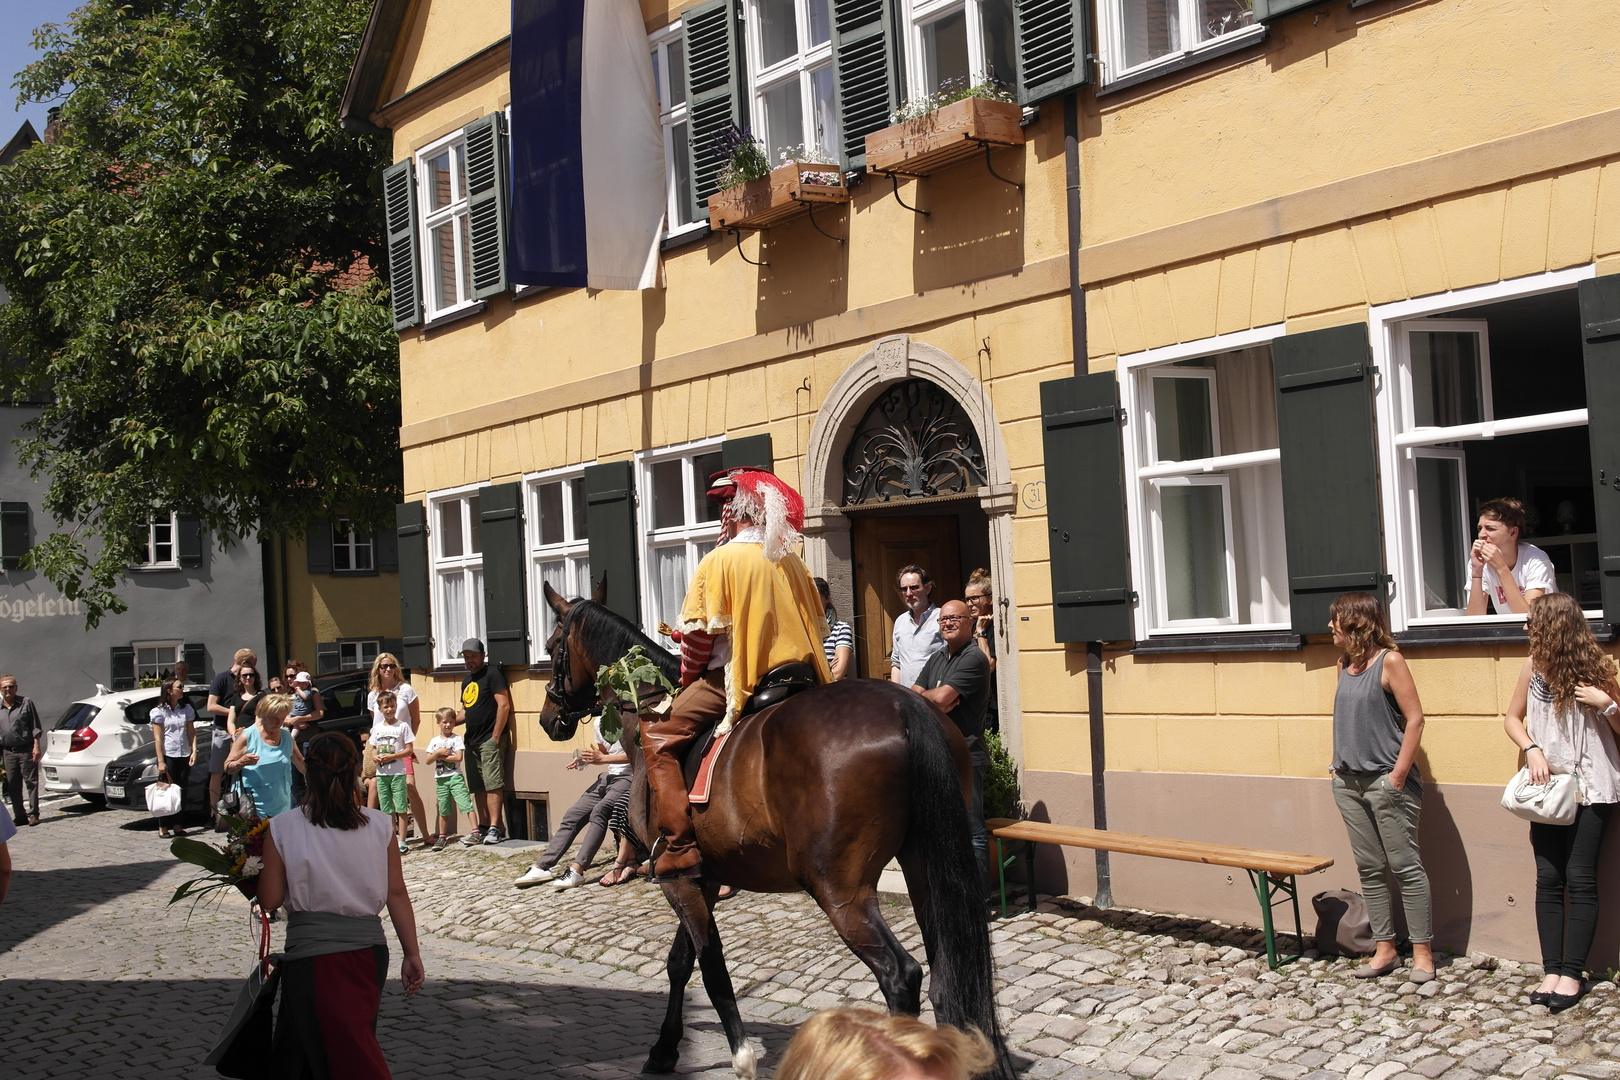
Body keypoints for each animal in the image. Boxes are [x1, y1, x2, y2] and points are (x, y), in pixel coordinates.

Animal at [537, 586, 1004, 1075]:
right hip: (926, 873)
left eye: (552, 646)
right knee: (945, 977)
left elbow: (712, 969)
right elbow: (680, 961)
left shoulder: (676, 879)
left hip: (838, 889)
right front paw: (665, 1048)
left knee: (900, 976)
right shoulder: (700, 878)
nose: (548, 717)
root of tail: (905, 705)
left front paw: (740, 1056)